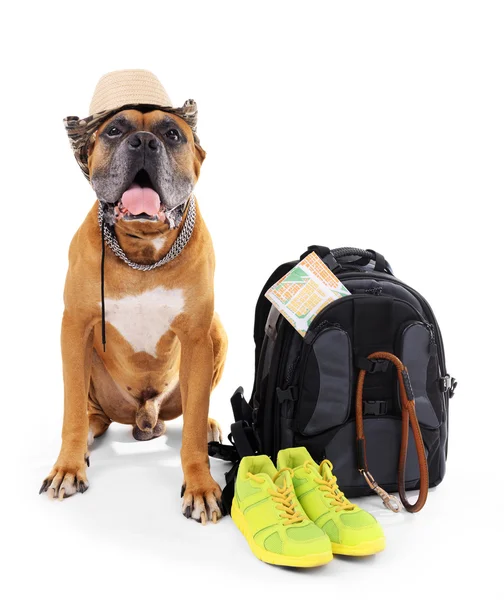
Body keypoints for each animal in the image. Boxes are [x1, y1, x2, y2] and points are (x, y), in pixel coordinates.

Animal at [39, 109, 228, 524]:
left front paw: (200, 486)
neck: (143, 252)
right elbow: (71, 412)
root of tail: (146, 415)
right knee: (92, 414)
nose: (143, 141)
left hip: (216, 334)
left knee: (195, 408)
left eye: (172, 134)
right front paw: (68, 467)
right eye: (114, 129)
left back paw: (207, 423)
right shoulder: (75, 327)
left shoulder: (197, 337)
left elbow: (192, 430)